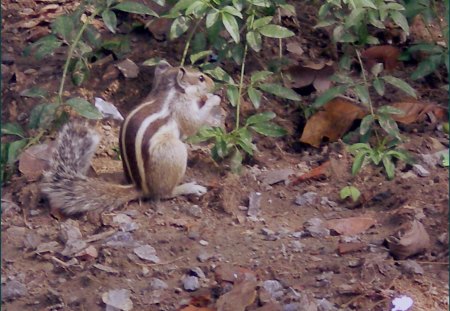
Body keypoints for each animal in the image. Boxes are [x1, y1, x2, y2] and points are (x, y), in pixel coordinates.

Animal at [41, 61, 221, 217]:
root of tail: (140, 187)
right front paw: (214, 98)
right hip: (174, 152)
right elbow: (192, 123)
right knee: (164, 193)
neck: (167, 89)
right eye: (201, 78)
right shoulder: (181, 107)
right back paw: (188, 187)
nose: (213, 83)